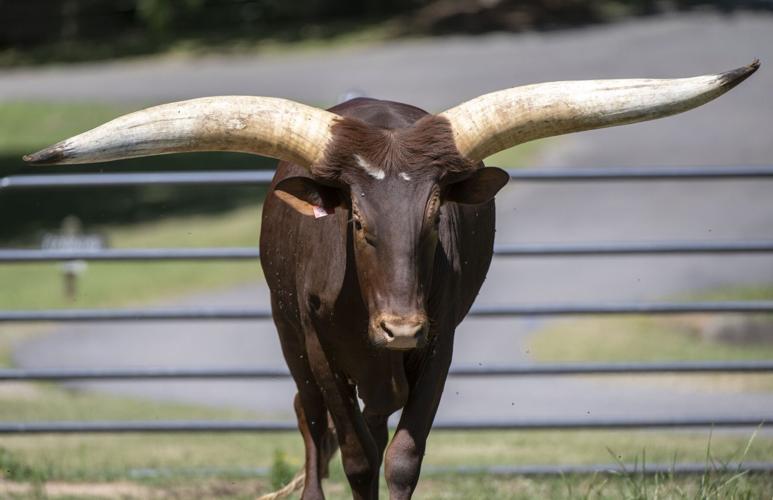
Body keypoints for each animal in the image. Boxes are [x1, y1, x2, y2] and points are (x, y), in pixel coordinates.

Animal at [25, 60, 758, 499]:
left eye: (434, 213)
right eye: (355, 219)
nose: (398, 325)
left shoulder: (439, 342)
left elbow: (403, 453)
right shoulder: (318, 345)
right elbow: (350, 452)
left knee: (373, 429)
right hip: (290, 335)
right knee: (312, 422)